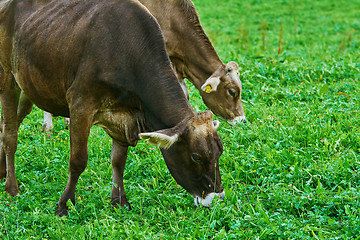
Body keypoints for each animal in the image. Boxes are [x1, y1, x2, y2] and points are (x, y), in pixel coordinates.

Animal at [0, 0, 225, 217]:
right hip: (8, 78)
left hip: (28, 87)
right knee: (10, 134)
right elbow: (78, 160)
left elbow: (118, 161)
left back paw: (2, 171)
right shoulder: (80, 104)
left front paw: (119, 202)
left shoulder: (124, 118)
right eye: (196, 156)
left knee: (6, 126)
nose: (216, 197)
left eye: (220, 151)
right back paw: (12, 187)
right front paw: (64, 205)